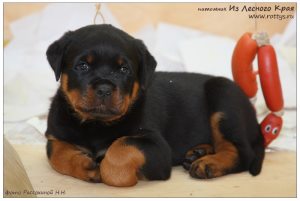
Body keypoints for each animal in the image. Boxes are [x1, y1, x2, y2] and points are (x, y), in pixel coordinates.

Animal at [45, 24, 264, 188]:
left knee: (243, 152)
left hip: (223, 95)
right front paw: (86, 165)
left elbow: (120, 148)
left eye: (124, 69)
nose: (104, 89)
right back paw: (198, 153)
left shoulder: (157, 147)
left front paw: (113, 171)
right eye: (82, 66)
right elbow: (56, 154)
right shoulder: (54, 135)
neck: (96, 125)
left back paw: (208, 163)